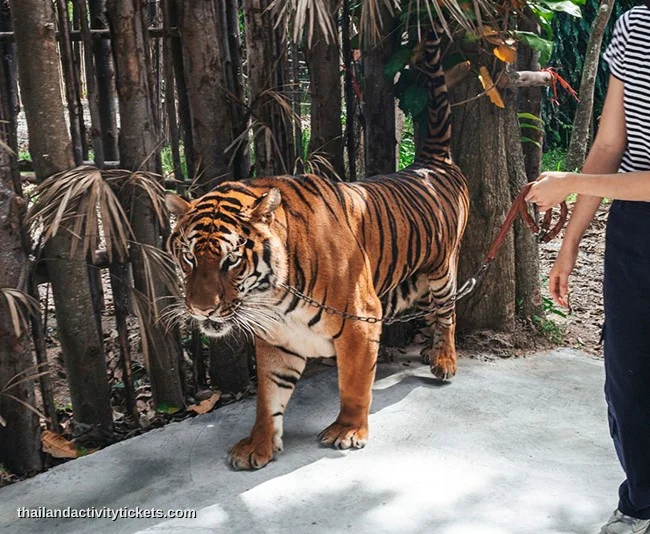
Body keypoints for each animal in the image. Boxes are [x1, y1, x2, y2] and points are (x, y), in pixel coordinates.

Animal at [165, 28, 469, 470]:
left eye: (230, 260)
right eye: (189, 258)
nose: (201, 309)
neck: (270, 297)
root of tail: (430, 164)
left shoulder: (361, 320)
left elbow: (354, 384)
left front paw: (348, 430)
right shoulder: (276, 338)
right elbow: (268, 398)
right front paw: (257, 446)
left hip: (442, 270)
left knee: (447, 313)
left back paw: (444, 360)